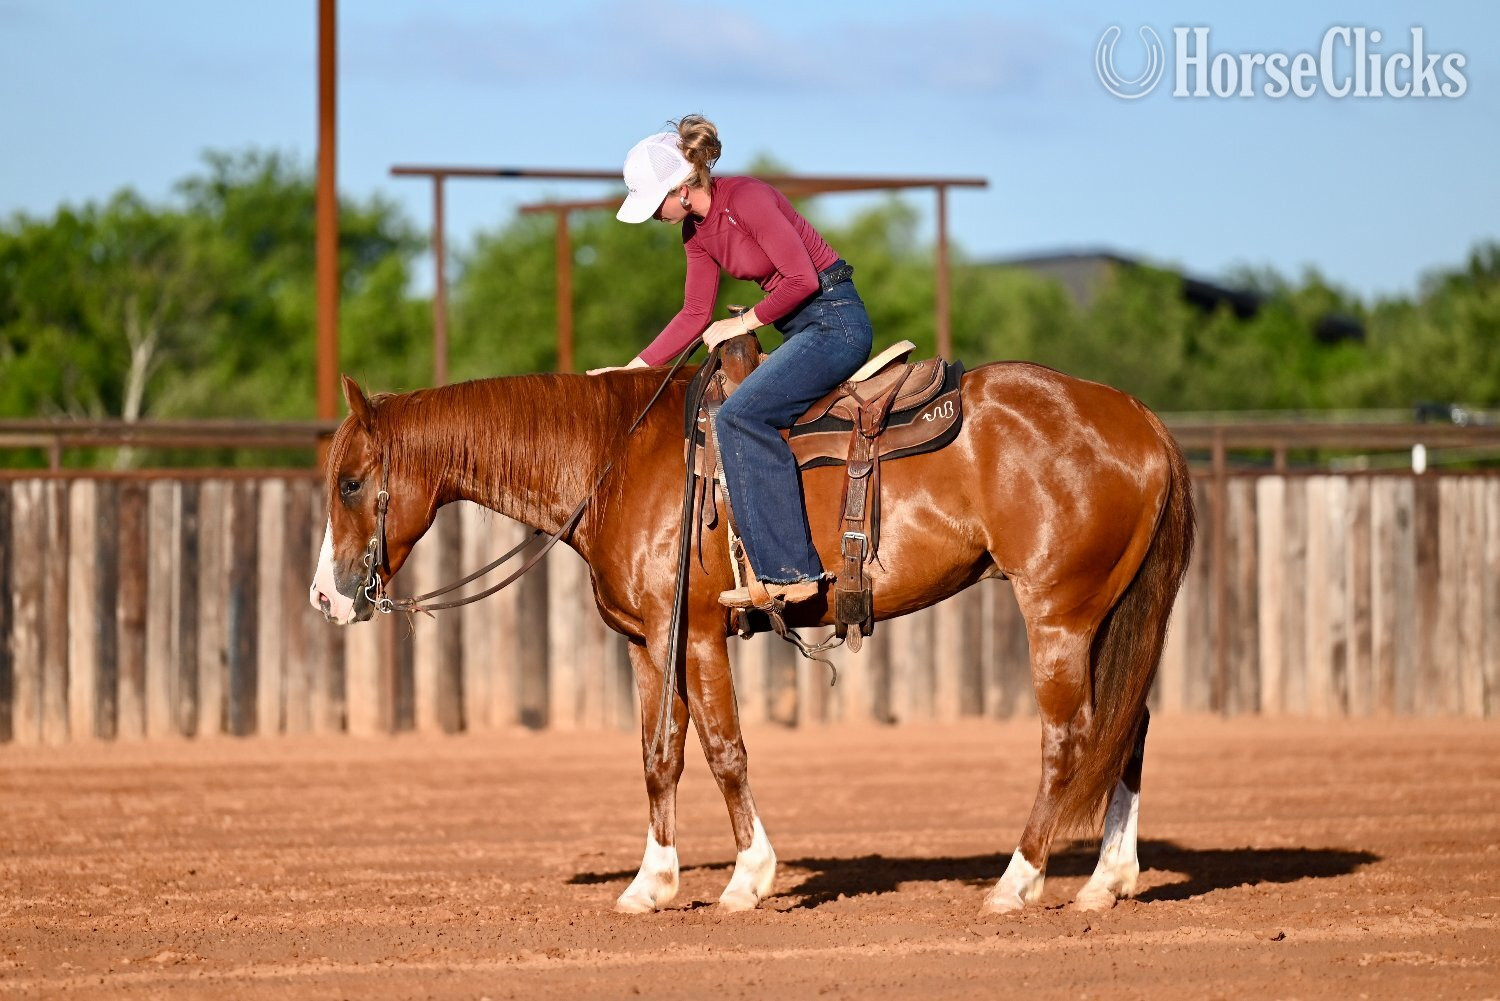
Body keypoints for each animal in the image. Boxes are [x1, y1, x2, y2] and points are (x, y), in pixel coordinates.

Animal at [310, 352, 1194, 914]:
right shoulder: (648, 641)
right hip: (1108, 616)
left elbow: (724, 750)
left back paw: (1017, 883)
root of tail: (1141, 419)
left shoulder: (698, 632)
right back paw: (1106, 881)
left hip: (1057, 614)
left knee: (1069, 736)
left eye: (352, 482)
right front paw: (651, 883)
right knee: (1130, 728)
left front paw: (747, 878)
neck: (617, 458)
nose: (324, 596)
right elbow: (658, 755)